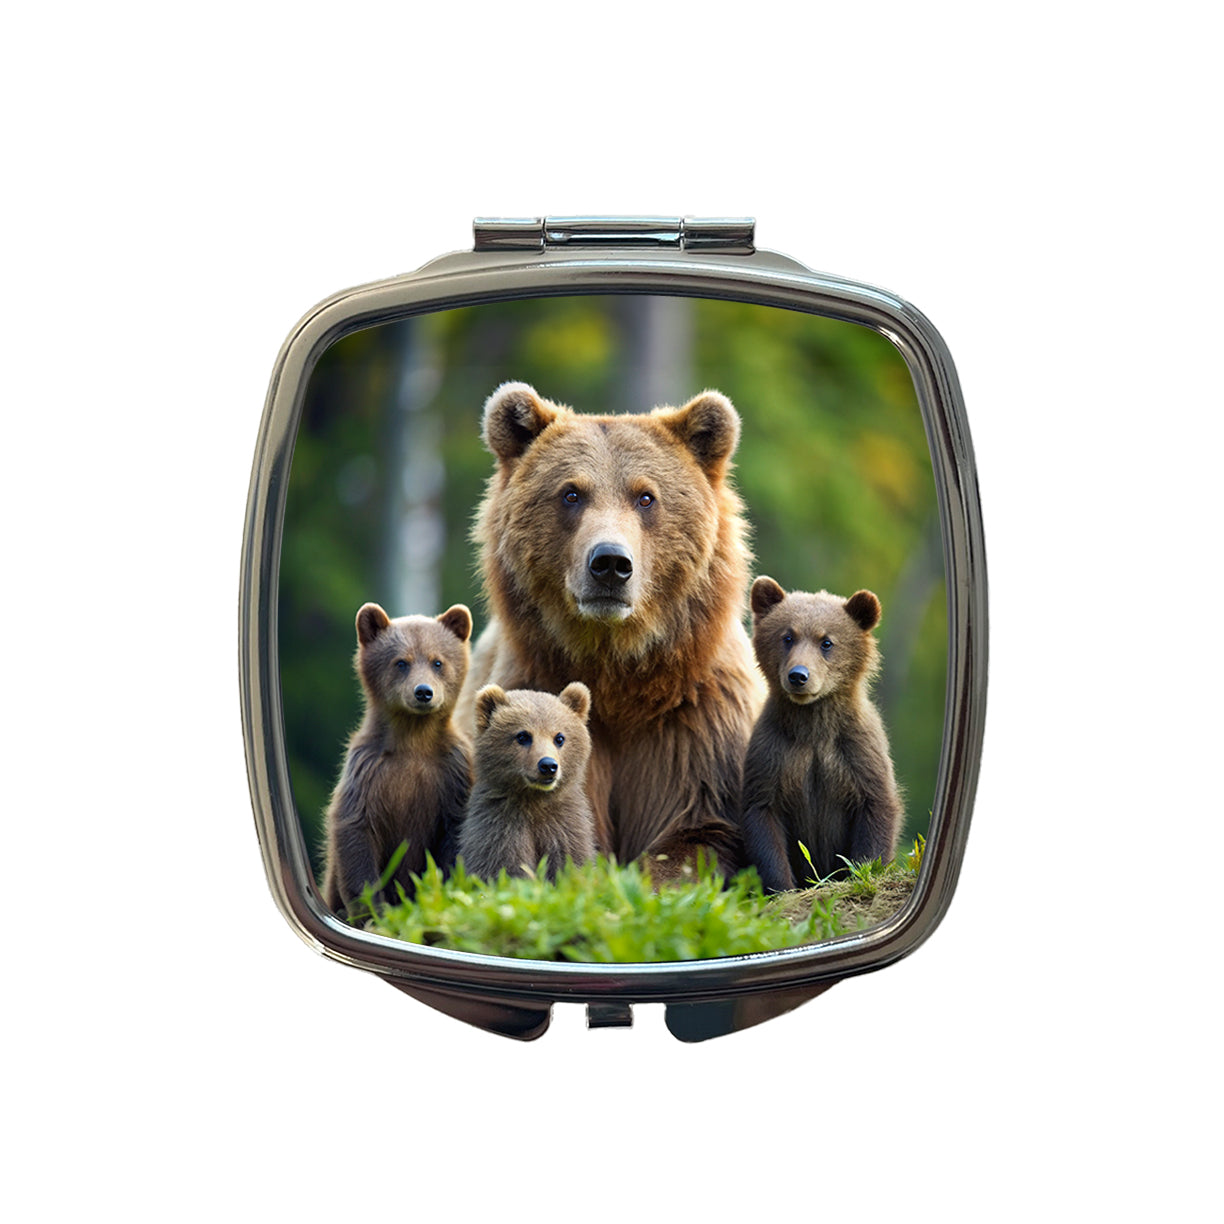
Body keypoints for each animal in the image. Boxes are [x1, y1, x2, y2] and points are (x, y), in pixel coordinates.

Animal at [320, 601, 473, 916]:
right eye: (401, 662)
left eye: (437, 662)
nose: (423, 692)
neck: (413, 740)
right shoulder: (367, 772)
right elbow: (355, 835)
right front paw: (372, 909)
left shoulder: (453, 773)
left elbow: (454, 837)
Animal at [458, 682, 596, 880]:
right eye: (523, 736)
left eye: (559, 737)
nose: (548, 765)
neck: (533, 799)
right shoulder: (500, 827)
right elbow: (501, 866)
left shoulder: (564, 827)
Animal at [740, 576, 903, 891]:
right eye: (787, 637)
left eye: (826, 642)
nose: (798, 676)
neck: (813, 726)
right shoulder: (773, 754)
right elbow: (763, 818)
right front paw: (781, 886)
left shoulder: (856, 752)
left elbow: (875, 809)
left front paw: (862, 870)